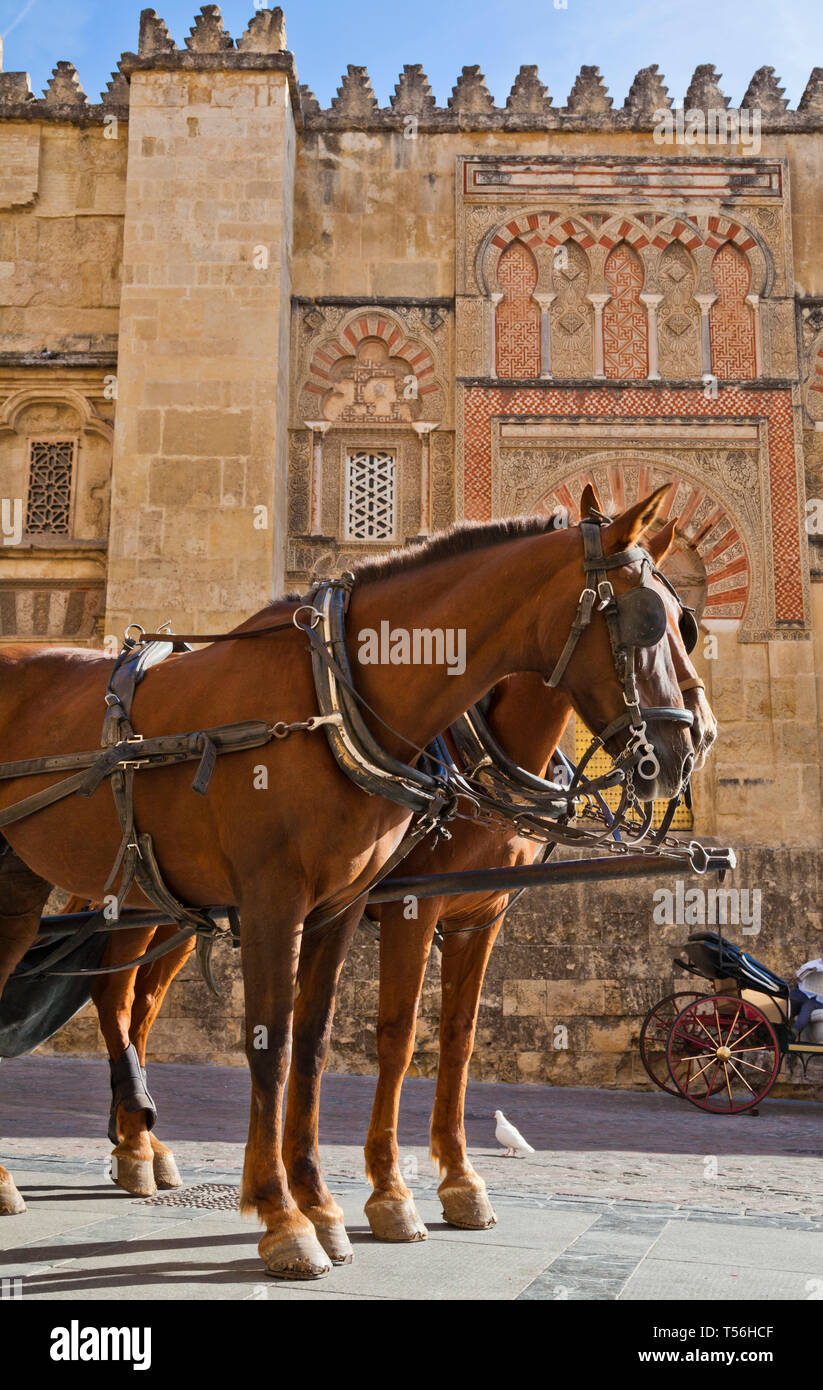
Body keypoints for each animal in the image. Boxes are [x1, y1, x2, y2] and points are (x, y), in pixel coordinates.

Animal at [0, 489, 695, 1278]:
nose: (683, 749)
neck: (335, 694)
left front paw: (344, 1202)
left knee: (128, 1001)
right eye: (647, 620)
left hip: (74, 890)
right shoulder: (313, 904)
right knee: (112, 995)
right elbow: (325, 1042)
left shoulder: (405, 910)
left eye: (686, 626)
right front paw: (300, 1213)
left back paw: (128, 1149)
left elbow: (362, 1041)